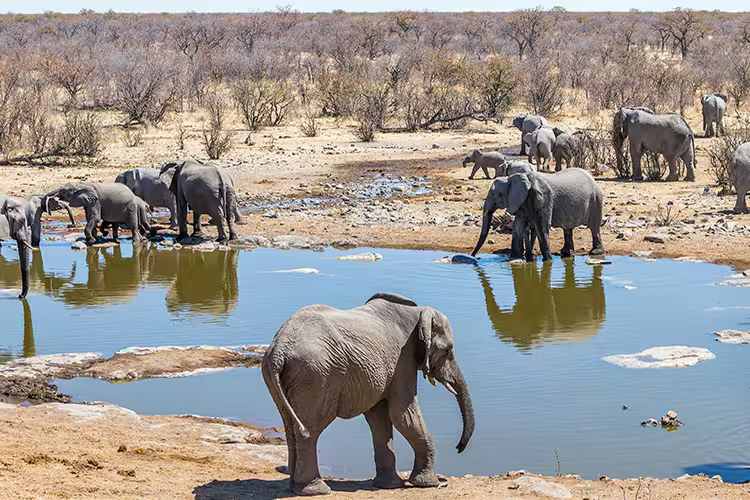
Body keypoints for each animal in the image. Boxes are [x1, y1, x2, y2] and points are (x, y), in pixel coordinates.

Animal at [262, 292, 474, 496]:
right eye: (447, 350)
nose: (458, 448)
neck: (418, 312)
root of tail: (280, 348)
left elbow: (379, 418)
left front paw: (389, 485)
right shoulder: (403, 360)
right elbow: (403, 415)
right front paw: (428, 484)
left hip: (281, 376)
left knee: (290, 426)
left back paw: (295, 488)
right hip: (316, 375)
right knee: (310, 429)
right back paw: (316, 490)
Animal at [471, 169, 604, 261]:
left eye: (494, 194)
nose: (474, 257)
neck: (513, 178)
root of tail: (592, 178)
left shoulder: (542, 197)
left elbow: (542, 227)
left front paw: (548, 261)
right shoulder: (522, 201)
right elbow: (518, 226)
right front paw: (515, 258)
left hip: (596, 200)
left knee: (594, 227)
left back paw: (595, 253)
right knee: (568, 229)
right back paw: (566, 253)